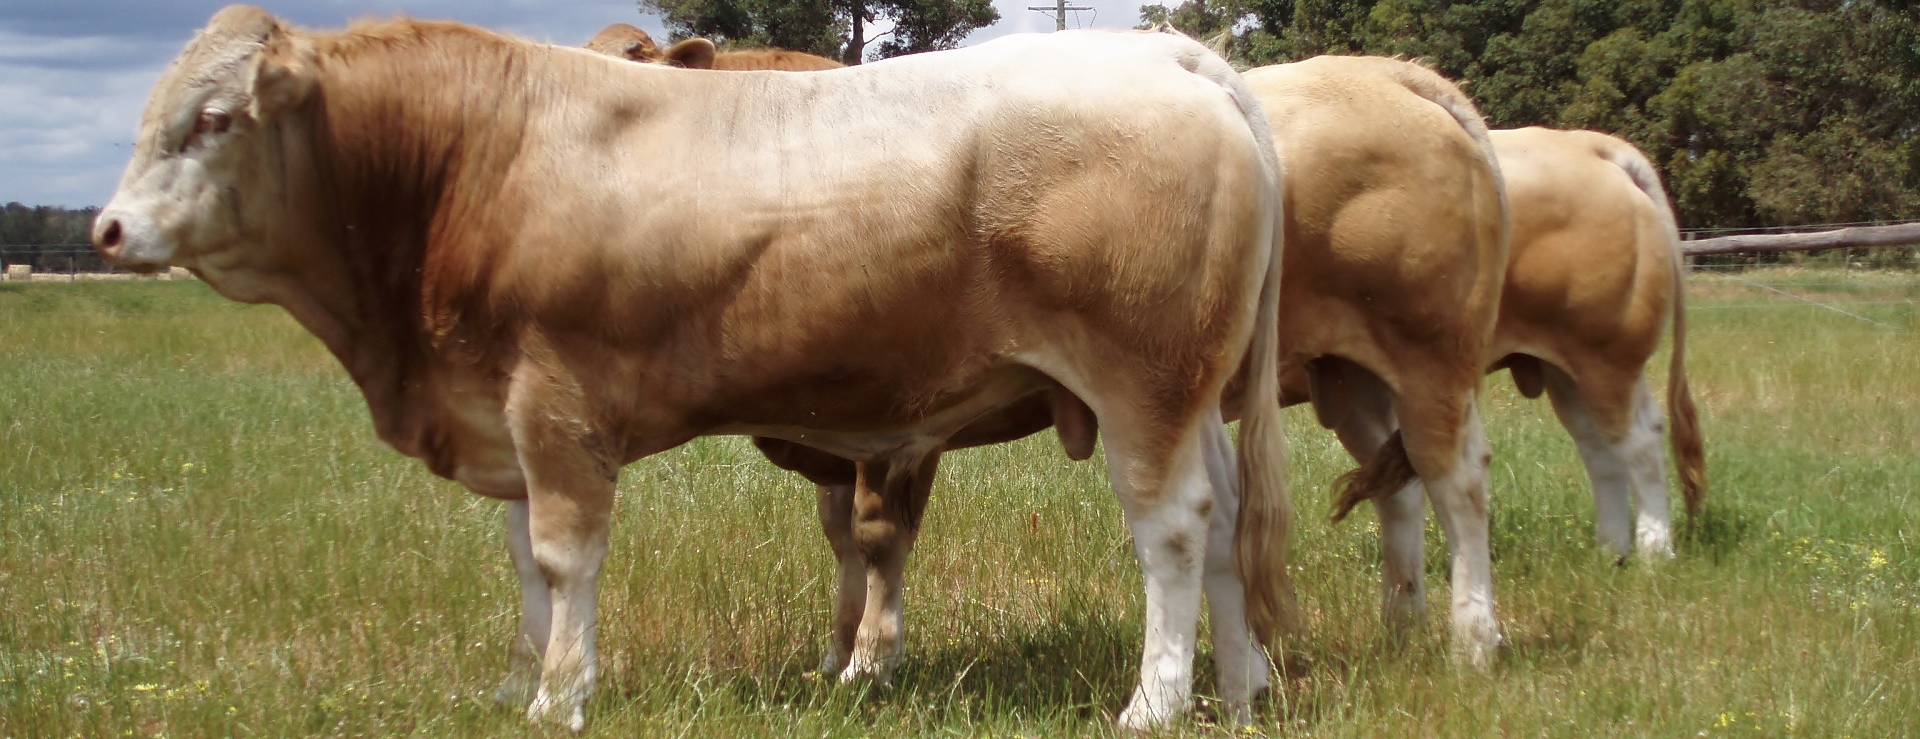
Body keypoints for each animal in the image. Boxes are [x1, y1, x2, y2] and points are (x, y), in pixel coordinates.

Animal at [91, 6, 1294, 731]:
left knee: (1174, 528)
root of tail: (1164, 50)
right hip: (1195, 388)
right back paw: (1242, 686)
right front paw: (522, 679)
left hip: (1138, 382)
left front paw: (561, 696)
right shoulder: (501, 413)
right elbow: (523, 564)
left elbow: (565, 558)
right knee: (1227, 522)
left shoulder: (556, 404)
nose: (106, 229)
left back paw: (1155, 702)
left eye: (213, 119)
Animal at [760, 54, 1514, 672]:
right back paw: (1402, 626)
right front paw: (836, 654)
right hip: (1355, 377)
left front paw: (868, 660)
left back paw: (1471, 643)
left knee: (1459, 481)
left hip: (1429, 356)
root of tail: (1396, 75)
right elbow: (842, 535)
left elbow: (877, 536)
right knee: (1399, 485)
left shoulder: (901, 425)